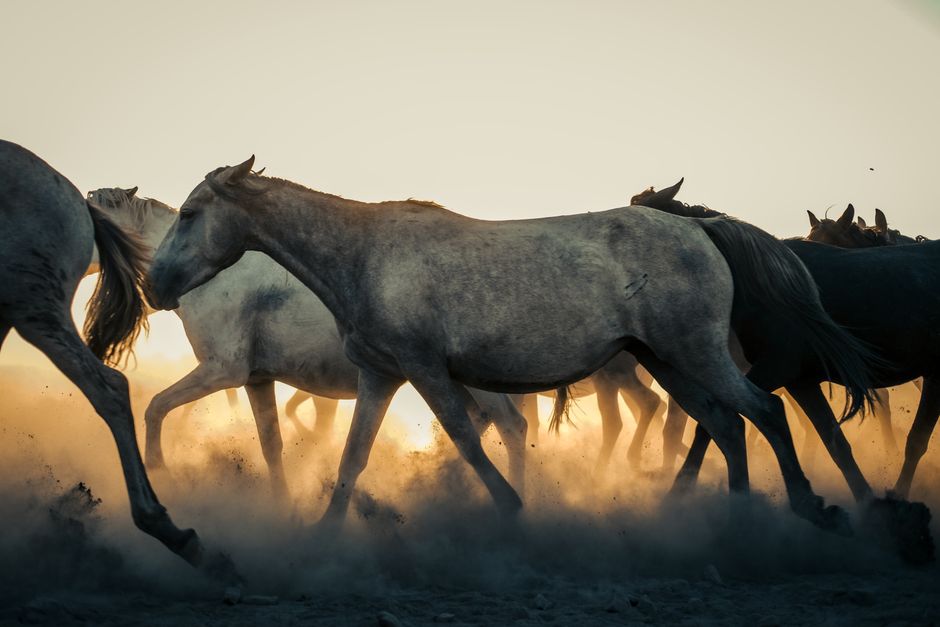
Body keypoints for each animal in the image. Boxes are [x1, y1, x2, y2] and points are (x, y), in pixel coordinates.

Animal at [86, 187, 528, 499]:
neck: (207, 277)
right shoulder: (256, 380)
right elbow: (272, 446)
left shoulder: (222, 371)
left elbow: (156, 407)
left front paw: (159, 469)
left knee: (511, 426)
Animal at [147, 156, 875, 536]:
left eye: (190, 214)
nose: (154, 286)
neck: (365, 255)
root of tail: (704, 229)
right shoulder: (382, 376)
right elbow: (353, 457)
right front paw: (325, 535)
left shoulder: (425, 369)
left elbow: (468, 441)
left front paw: (512, 509)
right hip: (666, 361)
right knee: (725, 423)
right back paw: (734, 520)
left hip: (694, 355)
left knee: (763, 411)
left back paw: (807, 508)